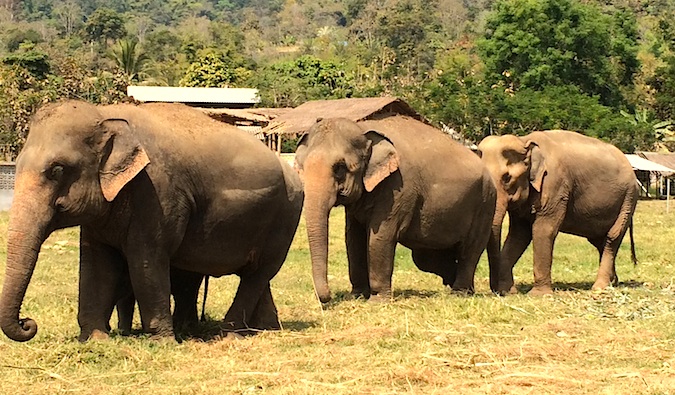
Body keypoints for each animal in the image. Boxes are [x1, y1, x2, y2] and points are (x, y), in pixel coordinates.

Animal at [0, 100, 302, 344]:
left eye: (57, 170)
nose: (28, 323)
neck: (105, 114)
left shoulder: (156, 193)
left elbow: (146, 260)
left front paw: (162, 342)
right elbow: (96, 263)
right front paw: (95, 340)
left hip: (285, 218)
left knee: (258, 274)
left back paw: (229, 334)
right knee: (255, 277)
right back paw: (263, 329)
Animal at [296, 115, 496, 304]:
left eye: (340, 168)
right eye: (303, 167)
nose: (328, 297)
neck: (364, 129)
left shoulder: (399, 188)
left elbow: (380, 237)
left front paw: (377, 301)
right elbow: (353, 238)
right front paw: (357, 296)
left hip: (485, 204)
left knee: (469, 250)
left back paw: (459, 292)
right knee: (426, 257)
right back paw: (458, 286)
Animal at [478, 131, 636, 296]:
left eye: (507, 178)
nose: (497, 291)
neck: (524, 140)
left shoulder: (555, 185)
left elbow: (542, 231)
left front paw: (539, 295)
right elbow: (519, 235)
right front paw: (509, 291)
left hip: (627, 200)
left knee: (612, 238)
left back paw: (600, 287)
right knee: (600, 242)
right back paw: (613, 283)